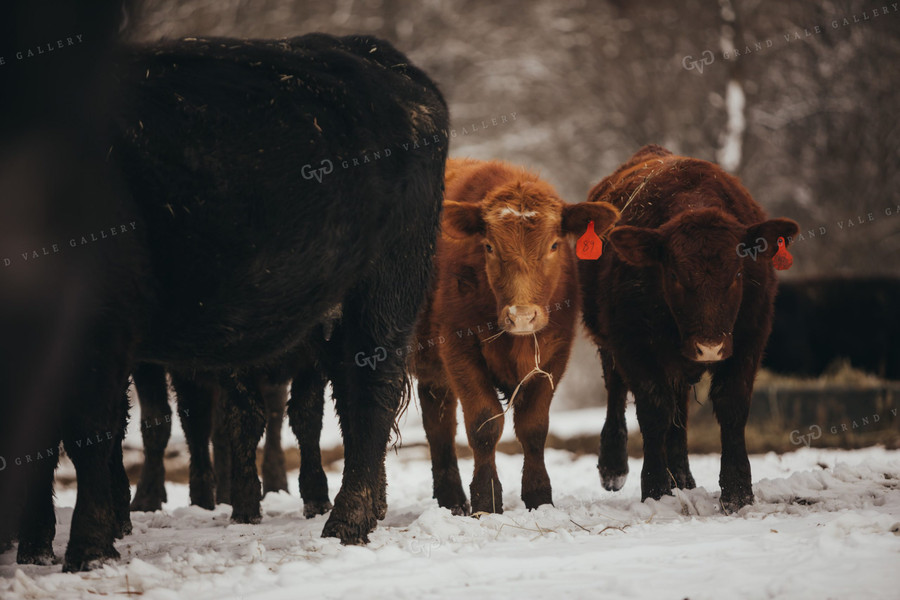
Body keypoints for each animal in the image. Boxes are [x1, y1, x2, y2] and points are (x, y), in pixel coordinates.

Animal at [0, 29, 446, 572]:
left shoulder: (98, 331)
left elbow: (89, 431)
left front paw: (87, 548)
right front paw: (38, 543)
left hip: (381, 295)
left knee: (367, 397)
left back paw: (345, 522)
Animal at [414, 159, 620, 516]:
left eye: (554, 245)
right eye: (489, 246)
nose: (522, 315)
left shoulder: (554, 354)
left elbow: (533, 427)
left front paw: (539, 497)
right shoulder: (458, 349)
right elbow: (484, 424)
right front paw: (486, 499)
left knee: (438, 425)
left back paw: (451, 500)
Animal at [580, 145, 800, 510]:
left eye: (737, 273)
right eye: (674, 275)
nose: (709, 346)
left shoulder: (749, 339)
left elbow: (731, 407)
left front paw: (737, 491)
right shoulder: (633, 345)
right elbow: (654, 413)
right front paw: (656, 489)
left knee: (678, 412)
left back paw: (683, 479)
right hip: (607, 338)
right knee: (617, 391)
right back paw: (614, 467)